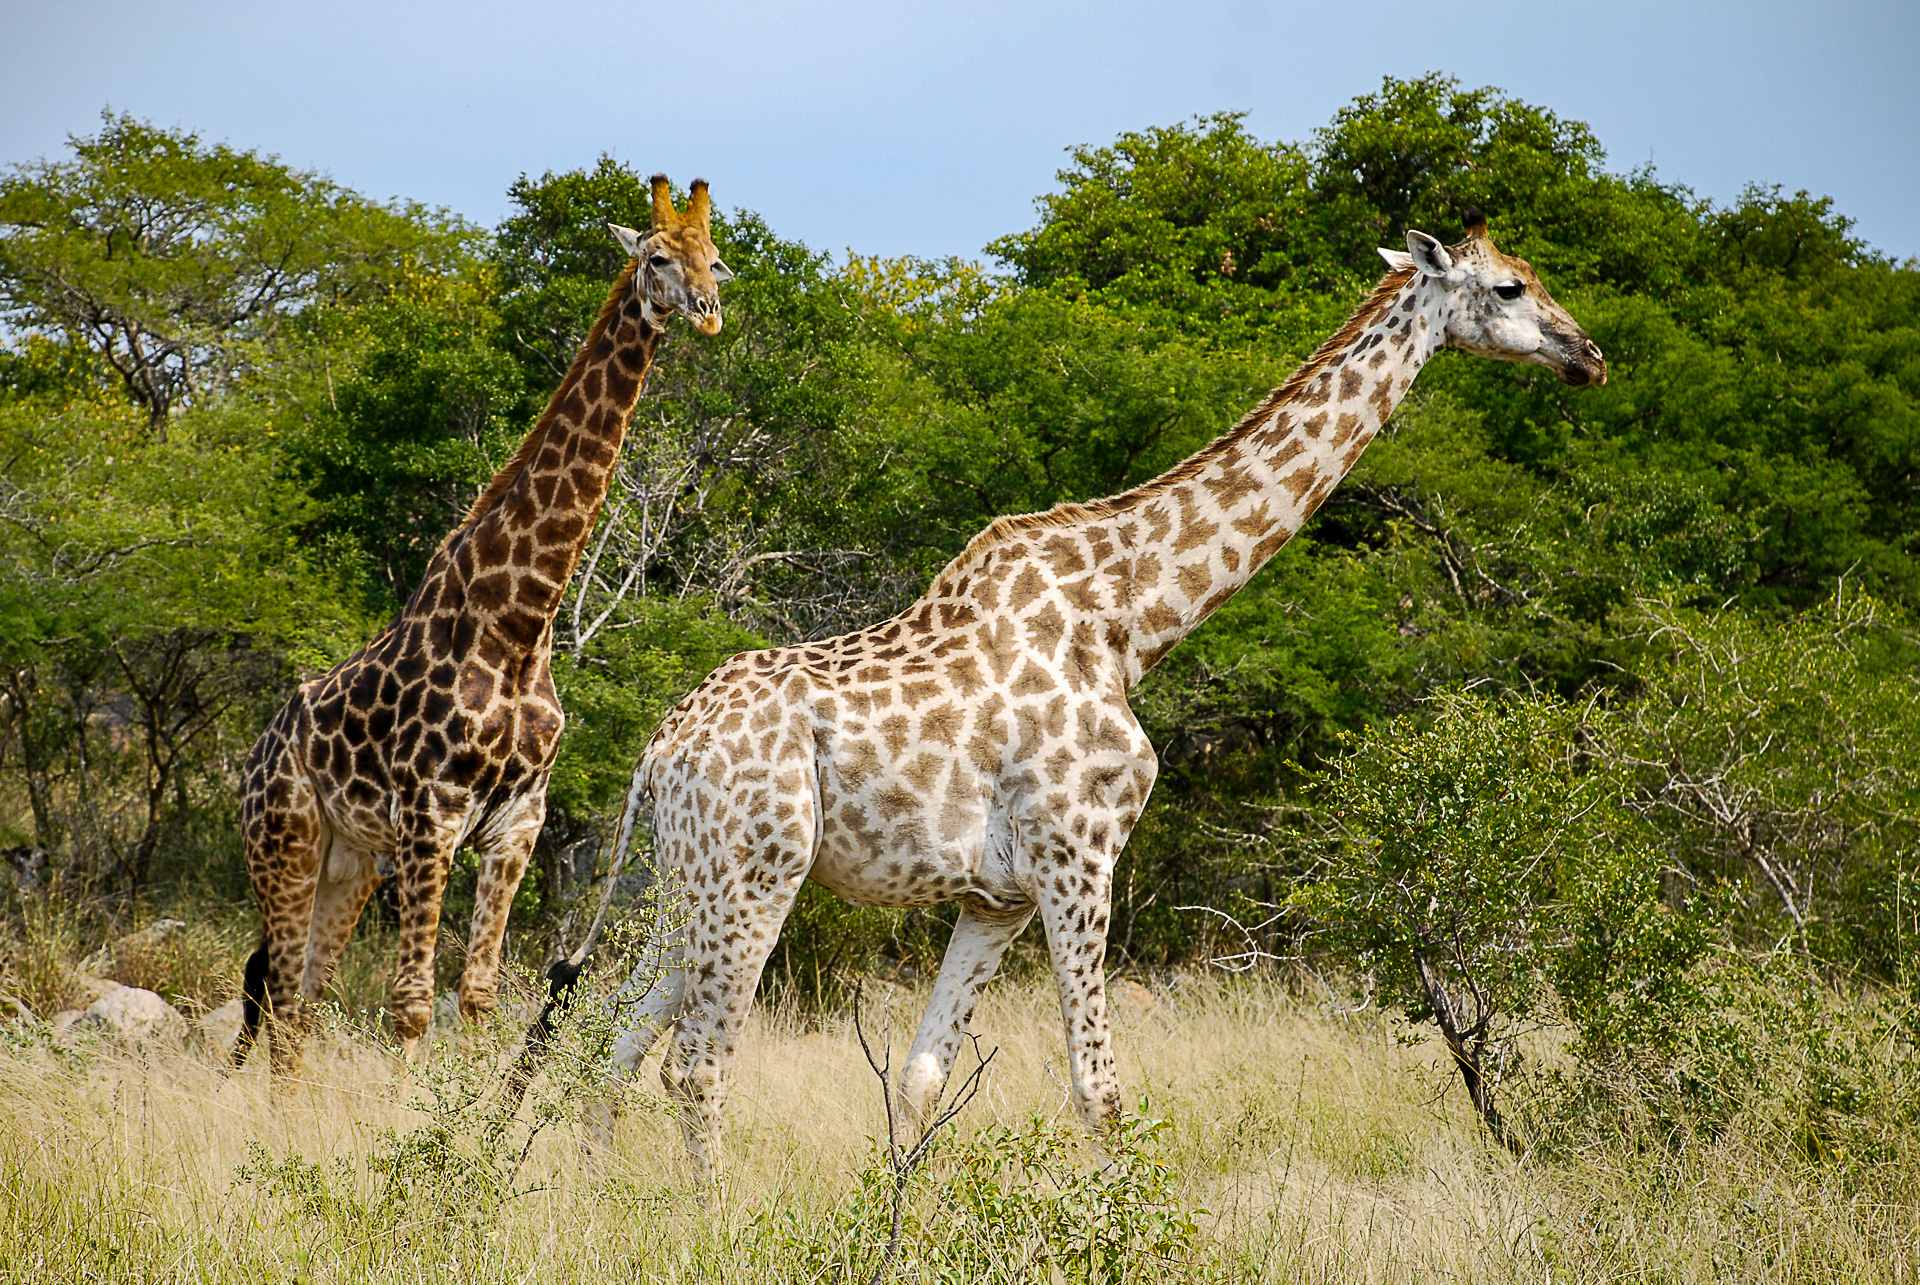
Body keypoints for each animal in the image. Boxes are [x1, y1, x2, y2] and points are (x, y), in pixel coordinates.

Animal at [226, 175, 733, 1067]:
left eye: (716, 258)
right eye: (657, 258)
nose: (706, 311)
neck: (521, 622)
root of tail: (252, 761)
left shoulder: (517, 821)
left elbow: (478, 998)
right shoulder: (432, 815)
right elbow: (408, 1008)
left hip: (348, 862)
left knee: (302, 1000)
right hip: (284, 845)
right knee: (283, 1001)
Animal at [591, 208, 1597, 1175]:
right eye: (1510, 286)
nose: (1588, 354)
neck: (1132, 620)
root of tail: (660, 750)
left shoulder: (993, 895)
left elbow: (921, 1081)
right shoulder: (1078, 853)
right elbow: (1098, 1092)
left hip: (686, 881)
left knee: (614, 1048)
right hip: (756, 871)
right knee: (695, 1064)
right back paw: (716, 1212)